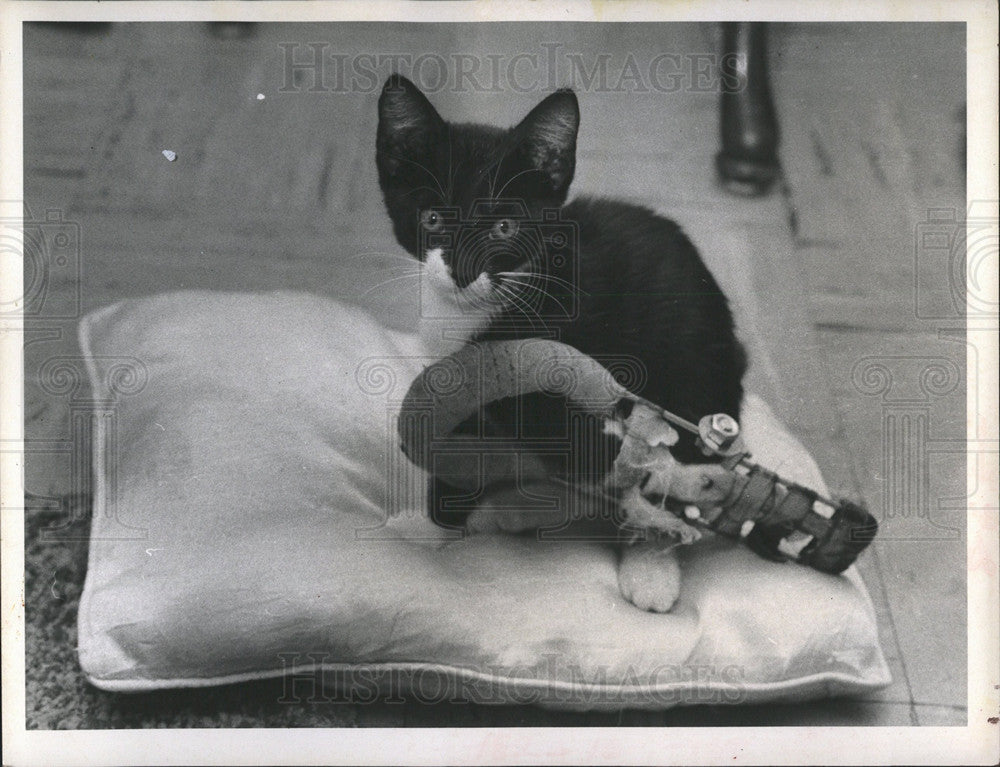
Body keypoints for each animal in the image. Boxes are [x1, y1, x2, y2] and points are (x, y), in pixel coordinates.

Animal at [378, 75, 748, 616]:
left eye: (505, 227)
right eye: (432, 220)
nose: (463, 272)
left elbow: (618, 466)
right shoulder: (458, 388)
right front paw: (432, 528)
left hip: (701, 366)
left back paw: (647, 563)